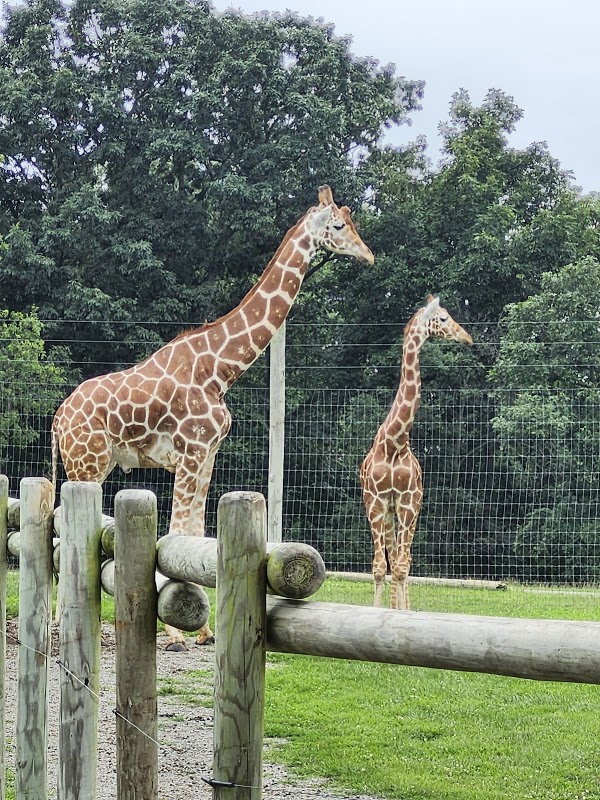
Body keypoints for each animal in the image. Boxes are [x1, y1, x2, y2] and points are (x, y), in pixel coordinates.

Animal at [52, 185, 374, 648]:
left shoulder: (207, 454)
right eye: (338, 225)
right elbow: (177, 530)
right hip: (87, 463)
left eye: (353, 222)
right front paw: (175, 631)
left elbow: (197, 531)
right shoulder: (190, 451)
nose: (368, 255)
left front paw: (203, 629)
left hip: (95, 462)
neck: (220, 369)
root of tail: (59, 416)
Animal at [360, 295, 472, 611]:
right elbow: (379, 568)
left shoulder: (409, 502)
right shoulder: (375, 502)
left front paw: (402, 614)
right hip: (388, 512)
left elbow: (400, 567)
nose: (467, 338)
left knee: (404, 560)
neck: (394, 443)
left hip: (408, 510)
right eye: (443, 318)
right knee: (392, 558)